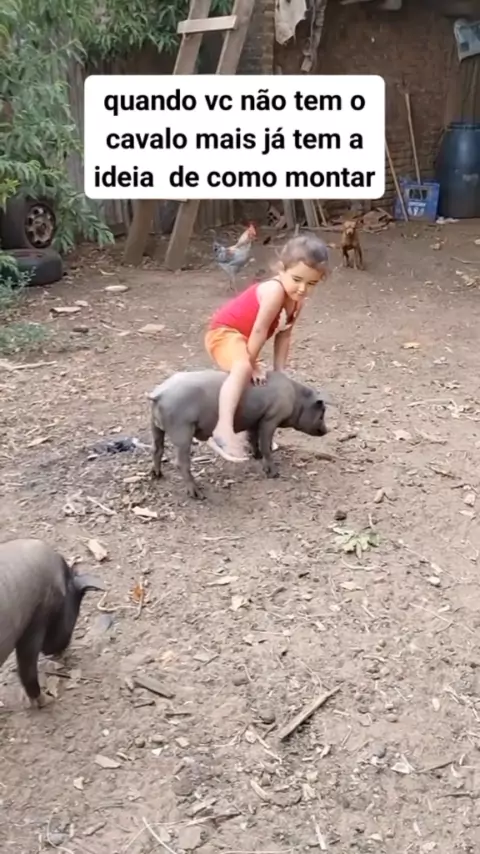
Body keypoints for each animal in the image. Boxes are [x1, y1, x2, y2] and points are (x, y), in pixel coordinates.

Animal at [148, 369, 328, 499]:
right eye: (322, 413)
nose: (327, 430)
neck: (296, 399)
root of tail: (158, 394)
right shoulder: (270, 418)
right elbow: (266, 444)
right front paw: (274, 473)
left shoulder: (255, 420)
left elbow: (253, 439)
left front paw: (256, 456)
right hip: (182, 431)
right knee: (180, 462)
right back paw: (198, 495)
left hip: (155, 426)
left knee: (157, 449)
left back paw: (157, 475)